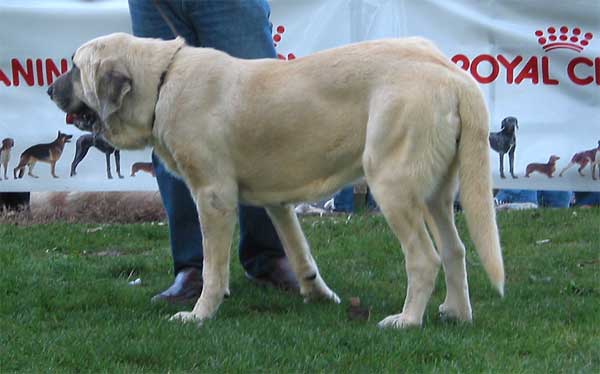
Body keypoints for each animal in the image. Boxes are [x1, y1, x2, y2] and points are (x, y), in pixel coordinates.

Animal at [49, 33, 504, 328]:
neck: (163, 79)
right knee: (456, 250)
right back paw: (456, 314)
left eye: (74, 67)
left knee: (424, 257)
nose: (51, 90)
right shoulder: (277, 201)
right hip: (435, 196)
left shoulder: (213, 197)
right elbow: (300, 253)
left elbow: (213, 268)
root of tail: (450, 73)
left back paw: (407, 320)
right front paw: (319, 294)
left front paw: (199, 315)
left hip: (392, 186)